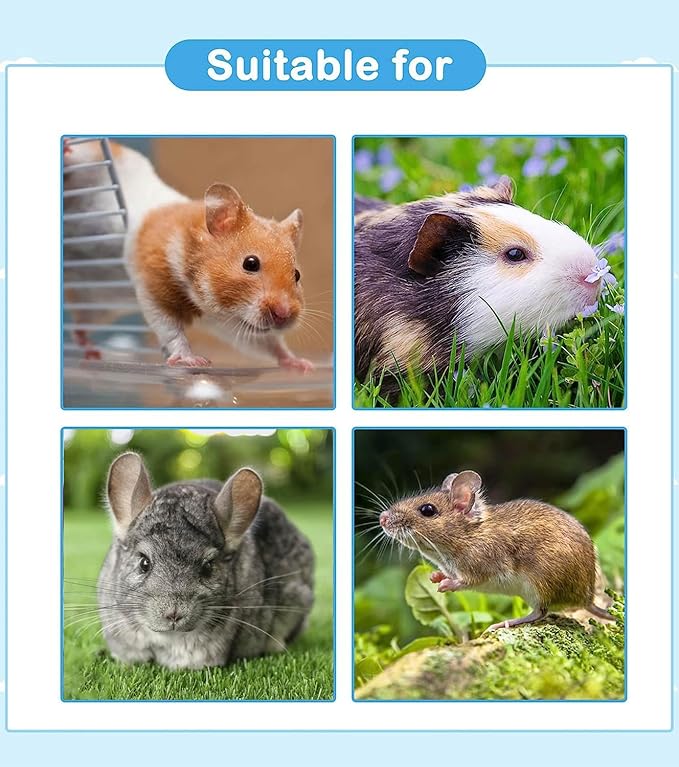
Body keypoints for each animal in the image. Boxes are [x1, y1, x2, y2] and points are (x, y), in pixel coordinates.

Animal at [63, 139, 312, 370]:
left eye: (297, 275)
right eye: (250, 263)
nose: (284, 314)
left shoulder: (229, 324)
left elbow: (269, 344)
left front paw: (302, 364)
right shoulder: (154, 286)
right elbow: (171, 330)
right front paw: (194, 361)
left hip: (99, 304)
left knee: (79, 325)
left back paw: (91, 351)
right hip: (95, 161)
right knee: (77, 160)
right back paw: (67, 147)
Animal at [378, 470, 614, 631]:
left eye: (427, 510)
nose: (382, 518)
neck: (468, 534)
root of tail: (587, 599)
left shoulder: (479, 568)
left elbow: (464, 582)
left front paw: (445, 585)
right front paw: (436, 577)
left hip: (538, 585)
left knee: (539, 613)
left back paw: (504, 623)